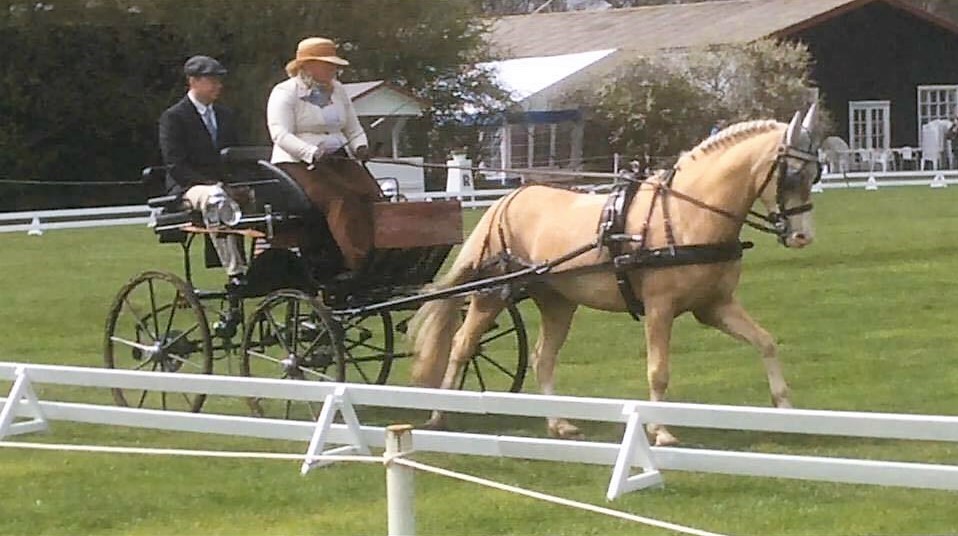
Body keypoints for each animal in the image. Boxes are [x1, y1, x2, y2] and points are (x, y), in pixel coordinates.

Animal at [412, 103, 824, 444]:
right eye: (791, 175)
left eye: (815, 174)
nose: (803, 235)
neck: (687, 214)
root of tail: (506, 201)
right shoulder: (659, 308)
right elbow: (658, 370)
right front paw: (660, 431)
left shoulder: (714, 306)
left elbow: (765, 342)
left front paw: (786, 410)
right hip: (491, 295)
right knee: (462, 345)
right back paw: (439, 414)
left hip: (557, 301)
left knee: (543, 356)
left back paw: (558, 422)